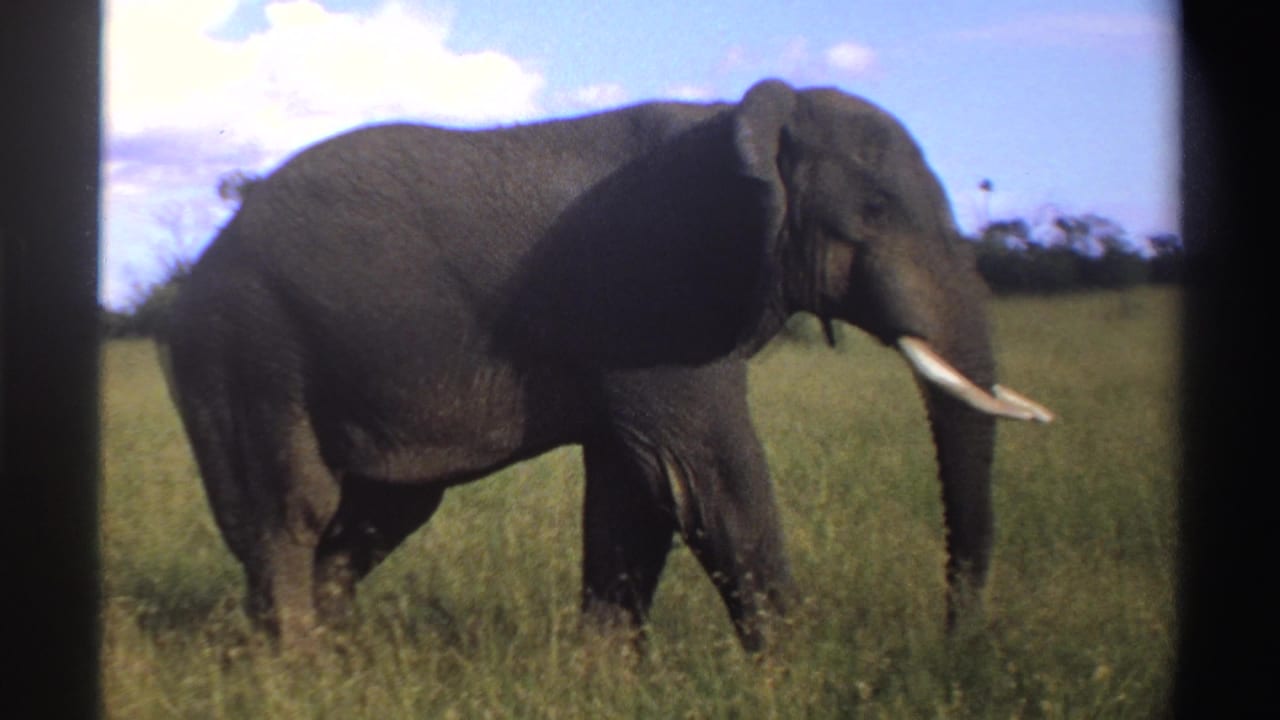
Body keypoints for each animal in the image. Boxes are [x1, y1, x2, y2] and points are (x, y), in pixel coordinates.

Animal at [162, 78, 1052, 652]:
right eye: (873, 211)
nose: (955, 642)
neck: (748, 121)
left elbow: (637, 493)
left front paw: (605, 677)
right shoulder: (654, 298)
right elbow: (708, 479)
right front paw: (799, 677)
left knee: (383, 513)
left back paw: (334, 659)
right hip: (245, 343)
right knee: (290, 507)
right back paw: (294, 671)